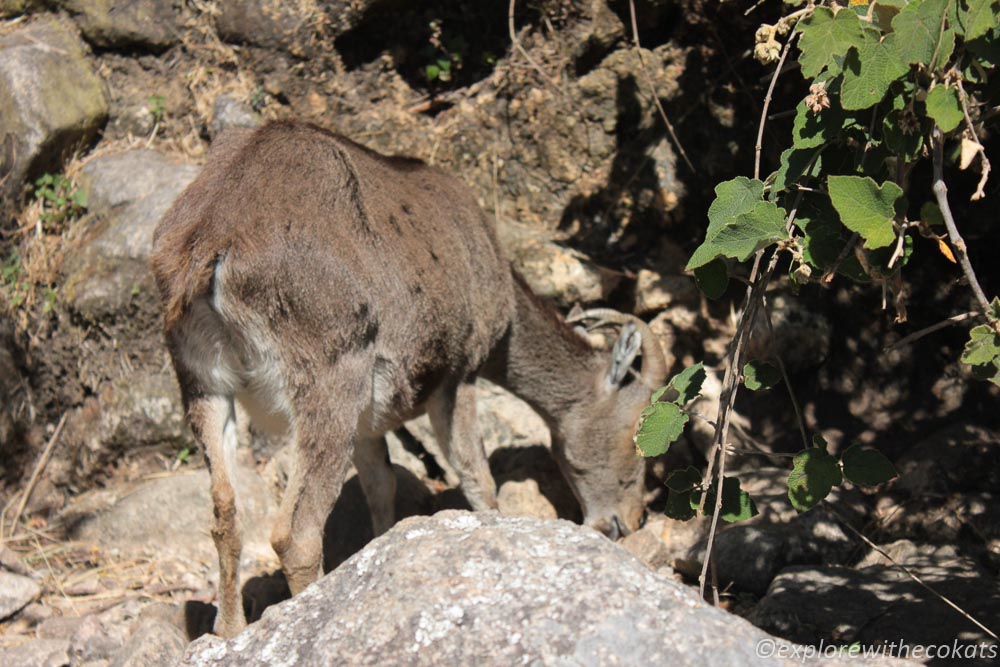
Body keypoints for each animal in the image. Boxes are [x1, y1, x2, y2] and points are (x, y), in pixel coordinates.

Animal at [148, 122, 668, 640]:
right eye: (636, 432)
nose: (625, 523)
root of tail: (212, 242)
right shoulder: (459, 377)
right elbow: (476, 477)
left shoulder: (367, 422)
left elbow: (381, 487)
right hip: (329, 382)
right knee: (295, 535)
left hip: (202, 382)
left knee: (225, 512)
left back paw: (229, 632)